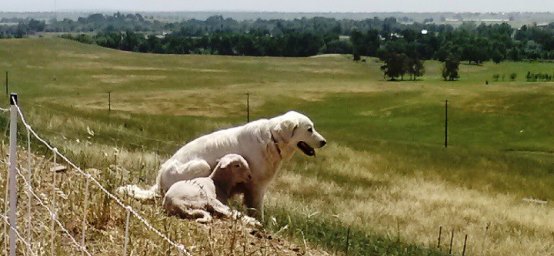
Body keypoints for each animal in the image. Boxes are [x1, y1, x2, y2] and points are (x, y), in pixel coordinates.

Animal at [116, 111, 324, 219]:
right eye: (309, 129)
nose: (324, 142)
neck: (272, 139)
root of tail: (160, 178)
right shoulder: (256, 187)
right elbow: (257, 211)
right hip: (201, 166)